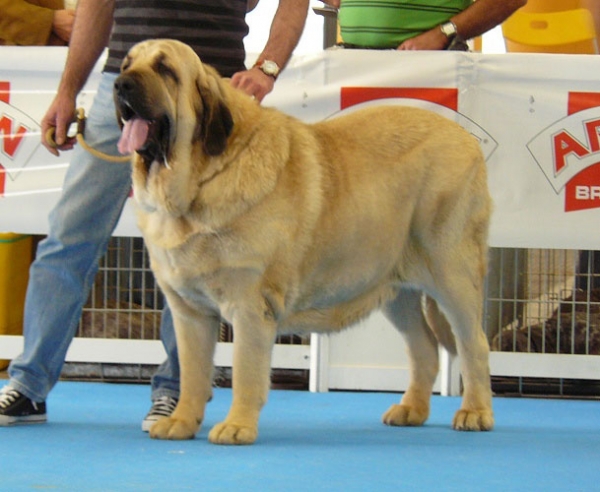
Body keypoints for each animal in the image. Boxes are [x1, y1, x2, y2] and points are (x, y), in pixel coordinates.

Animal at [116, 40, 492, 444]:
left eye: (165, 68)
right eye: (125, 63)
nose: (121, 84)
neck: (199, 182)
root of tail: (465, 139)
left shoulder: (250, 306)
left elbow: (246, 371)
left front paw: (237, 426)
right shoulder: (190, 312)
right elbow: (192, 373)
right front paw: (182, 422)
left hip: (452, 275)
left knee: (473, 344)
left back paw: (475, 412)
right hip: (395, 288)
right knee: (424, 347)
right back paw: (411, 410)